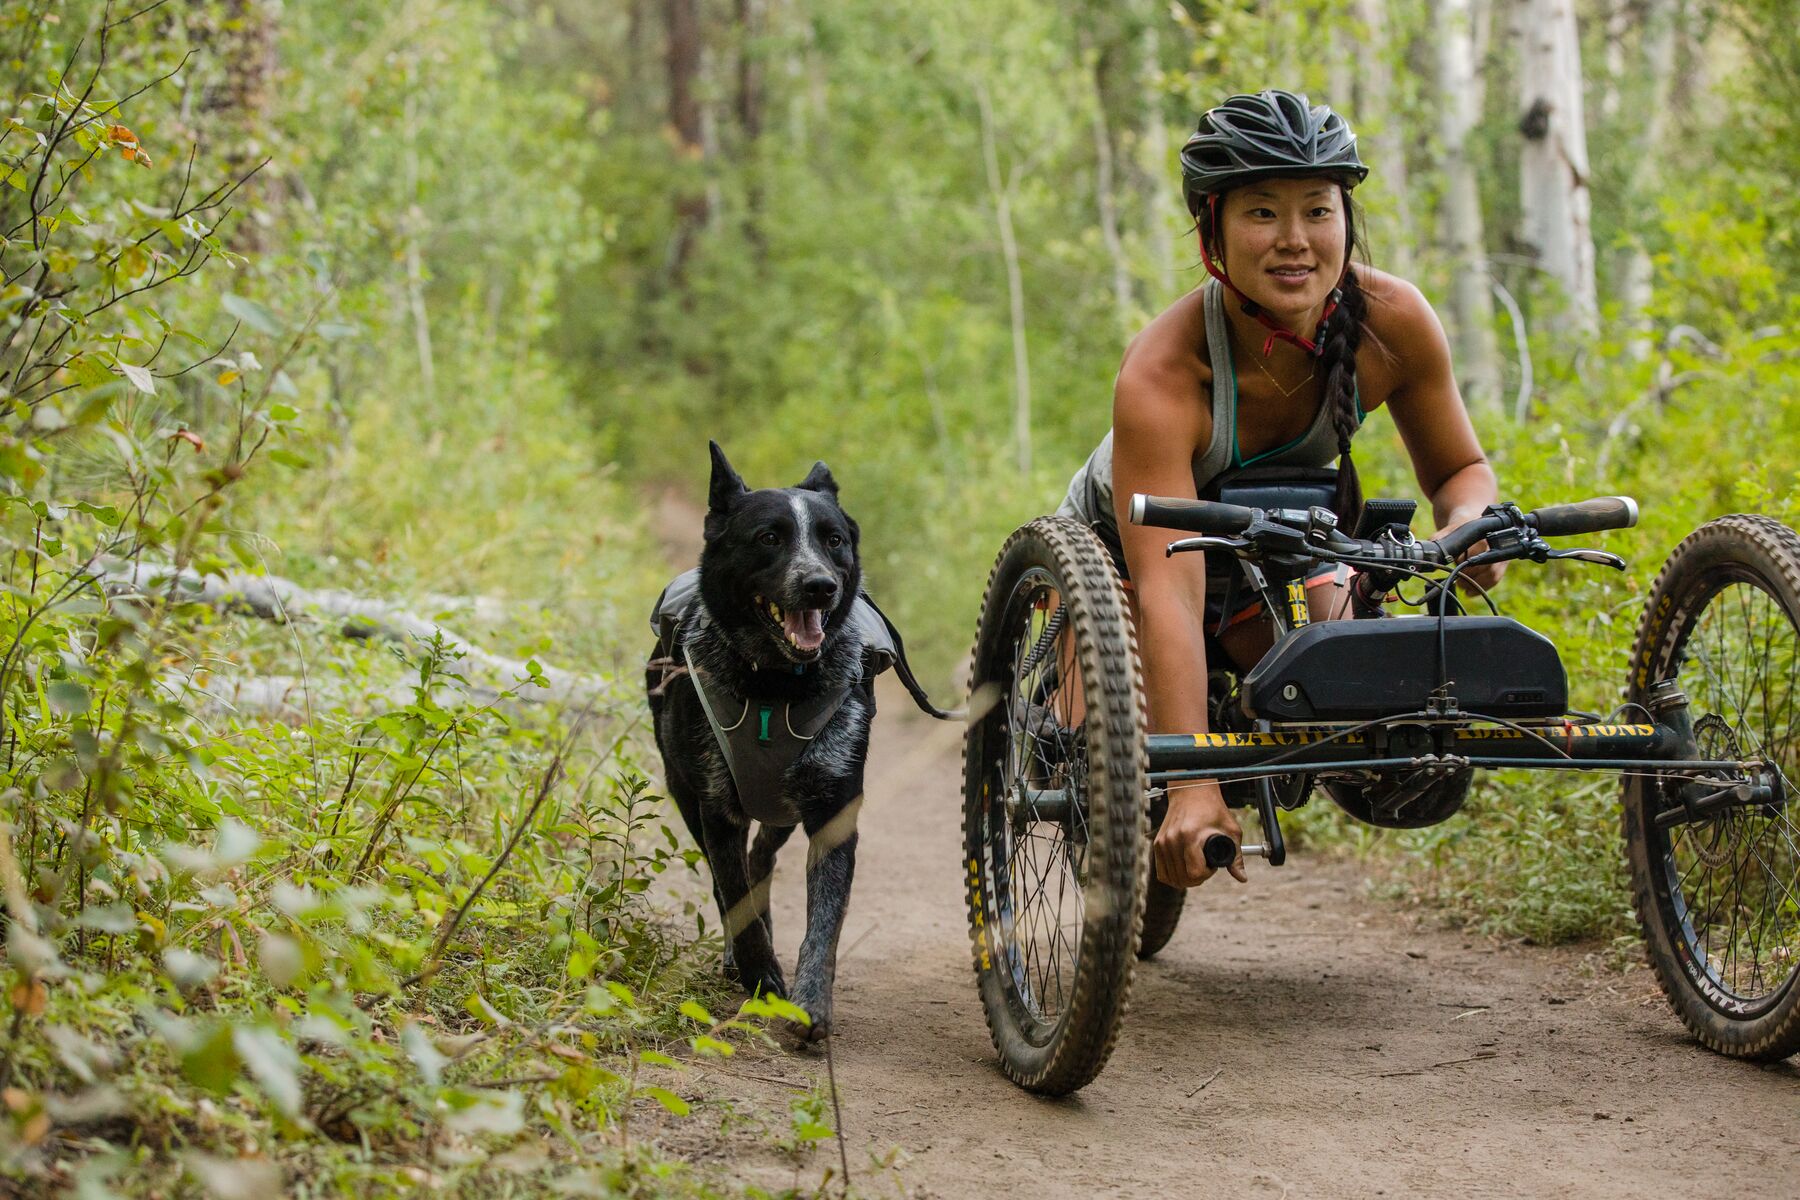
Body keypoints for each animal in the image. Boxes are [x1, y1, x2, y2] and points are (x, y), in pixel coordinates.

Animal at [648, 446, 871, 1036]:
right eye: (769, 537)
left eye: (832, 539)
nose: (820, 585)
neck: (774, 685)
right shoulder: (716, 810)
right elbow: (736, 904)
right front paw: (762, 977)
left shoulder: (833, 813)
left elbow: (825, 924)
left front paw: (812, 1002)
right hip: (689, 795)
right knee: (734, 883)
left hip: (782, 811)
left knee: (761, 861)